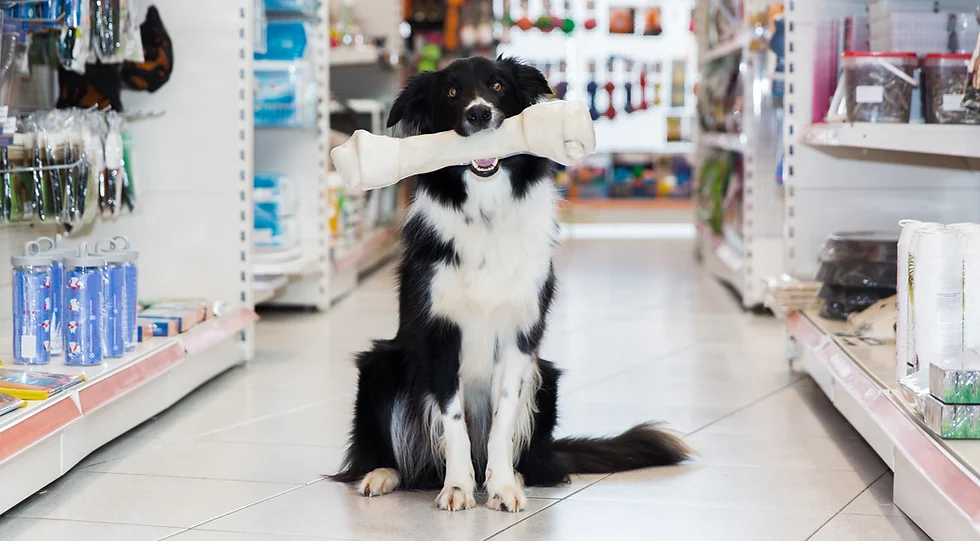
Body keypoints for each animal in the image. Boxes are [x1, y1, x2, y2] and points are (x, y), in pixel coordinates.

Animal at [330, 54, 688, 510]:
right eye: (451, 93)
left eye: (497, 86)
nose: (479, 113)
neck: (485, 211)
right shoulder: (440, 336)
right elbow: (453, 422)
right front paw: (458, 487)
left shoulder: (520, 337)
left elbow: (502, 419)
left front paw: (500, 486)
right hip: (381, 363)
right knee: (402, 459)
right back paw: (382, 474)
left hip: (546, 378)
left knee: (532, 460)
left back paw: (515, 474)